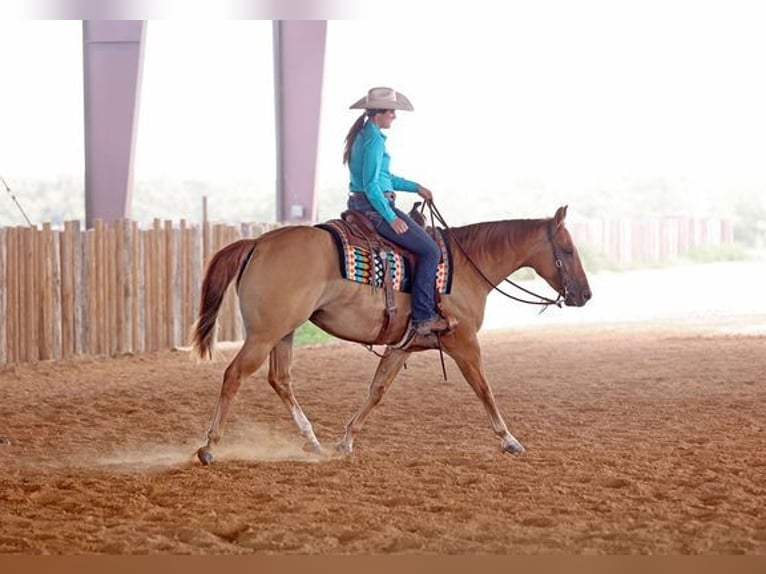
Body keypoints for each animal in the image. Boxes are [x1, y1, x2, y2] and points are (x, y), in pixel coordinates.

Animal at [192, 205, 592, 466]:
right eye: (568, 249)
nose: (585, 294)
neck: (466, 266)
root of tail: (258, 243)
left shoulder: (402, 346)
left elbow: (377, 390)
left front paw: (347, 441)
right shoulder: (464, 343)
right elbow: (484, 389)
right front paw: (509, 440)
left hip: (283, 332)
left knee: (280, 379)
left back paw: (313, 441)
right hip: (264, 334)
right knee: (233, 375)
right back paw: (210, 446)